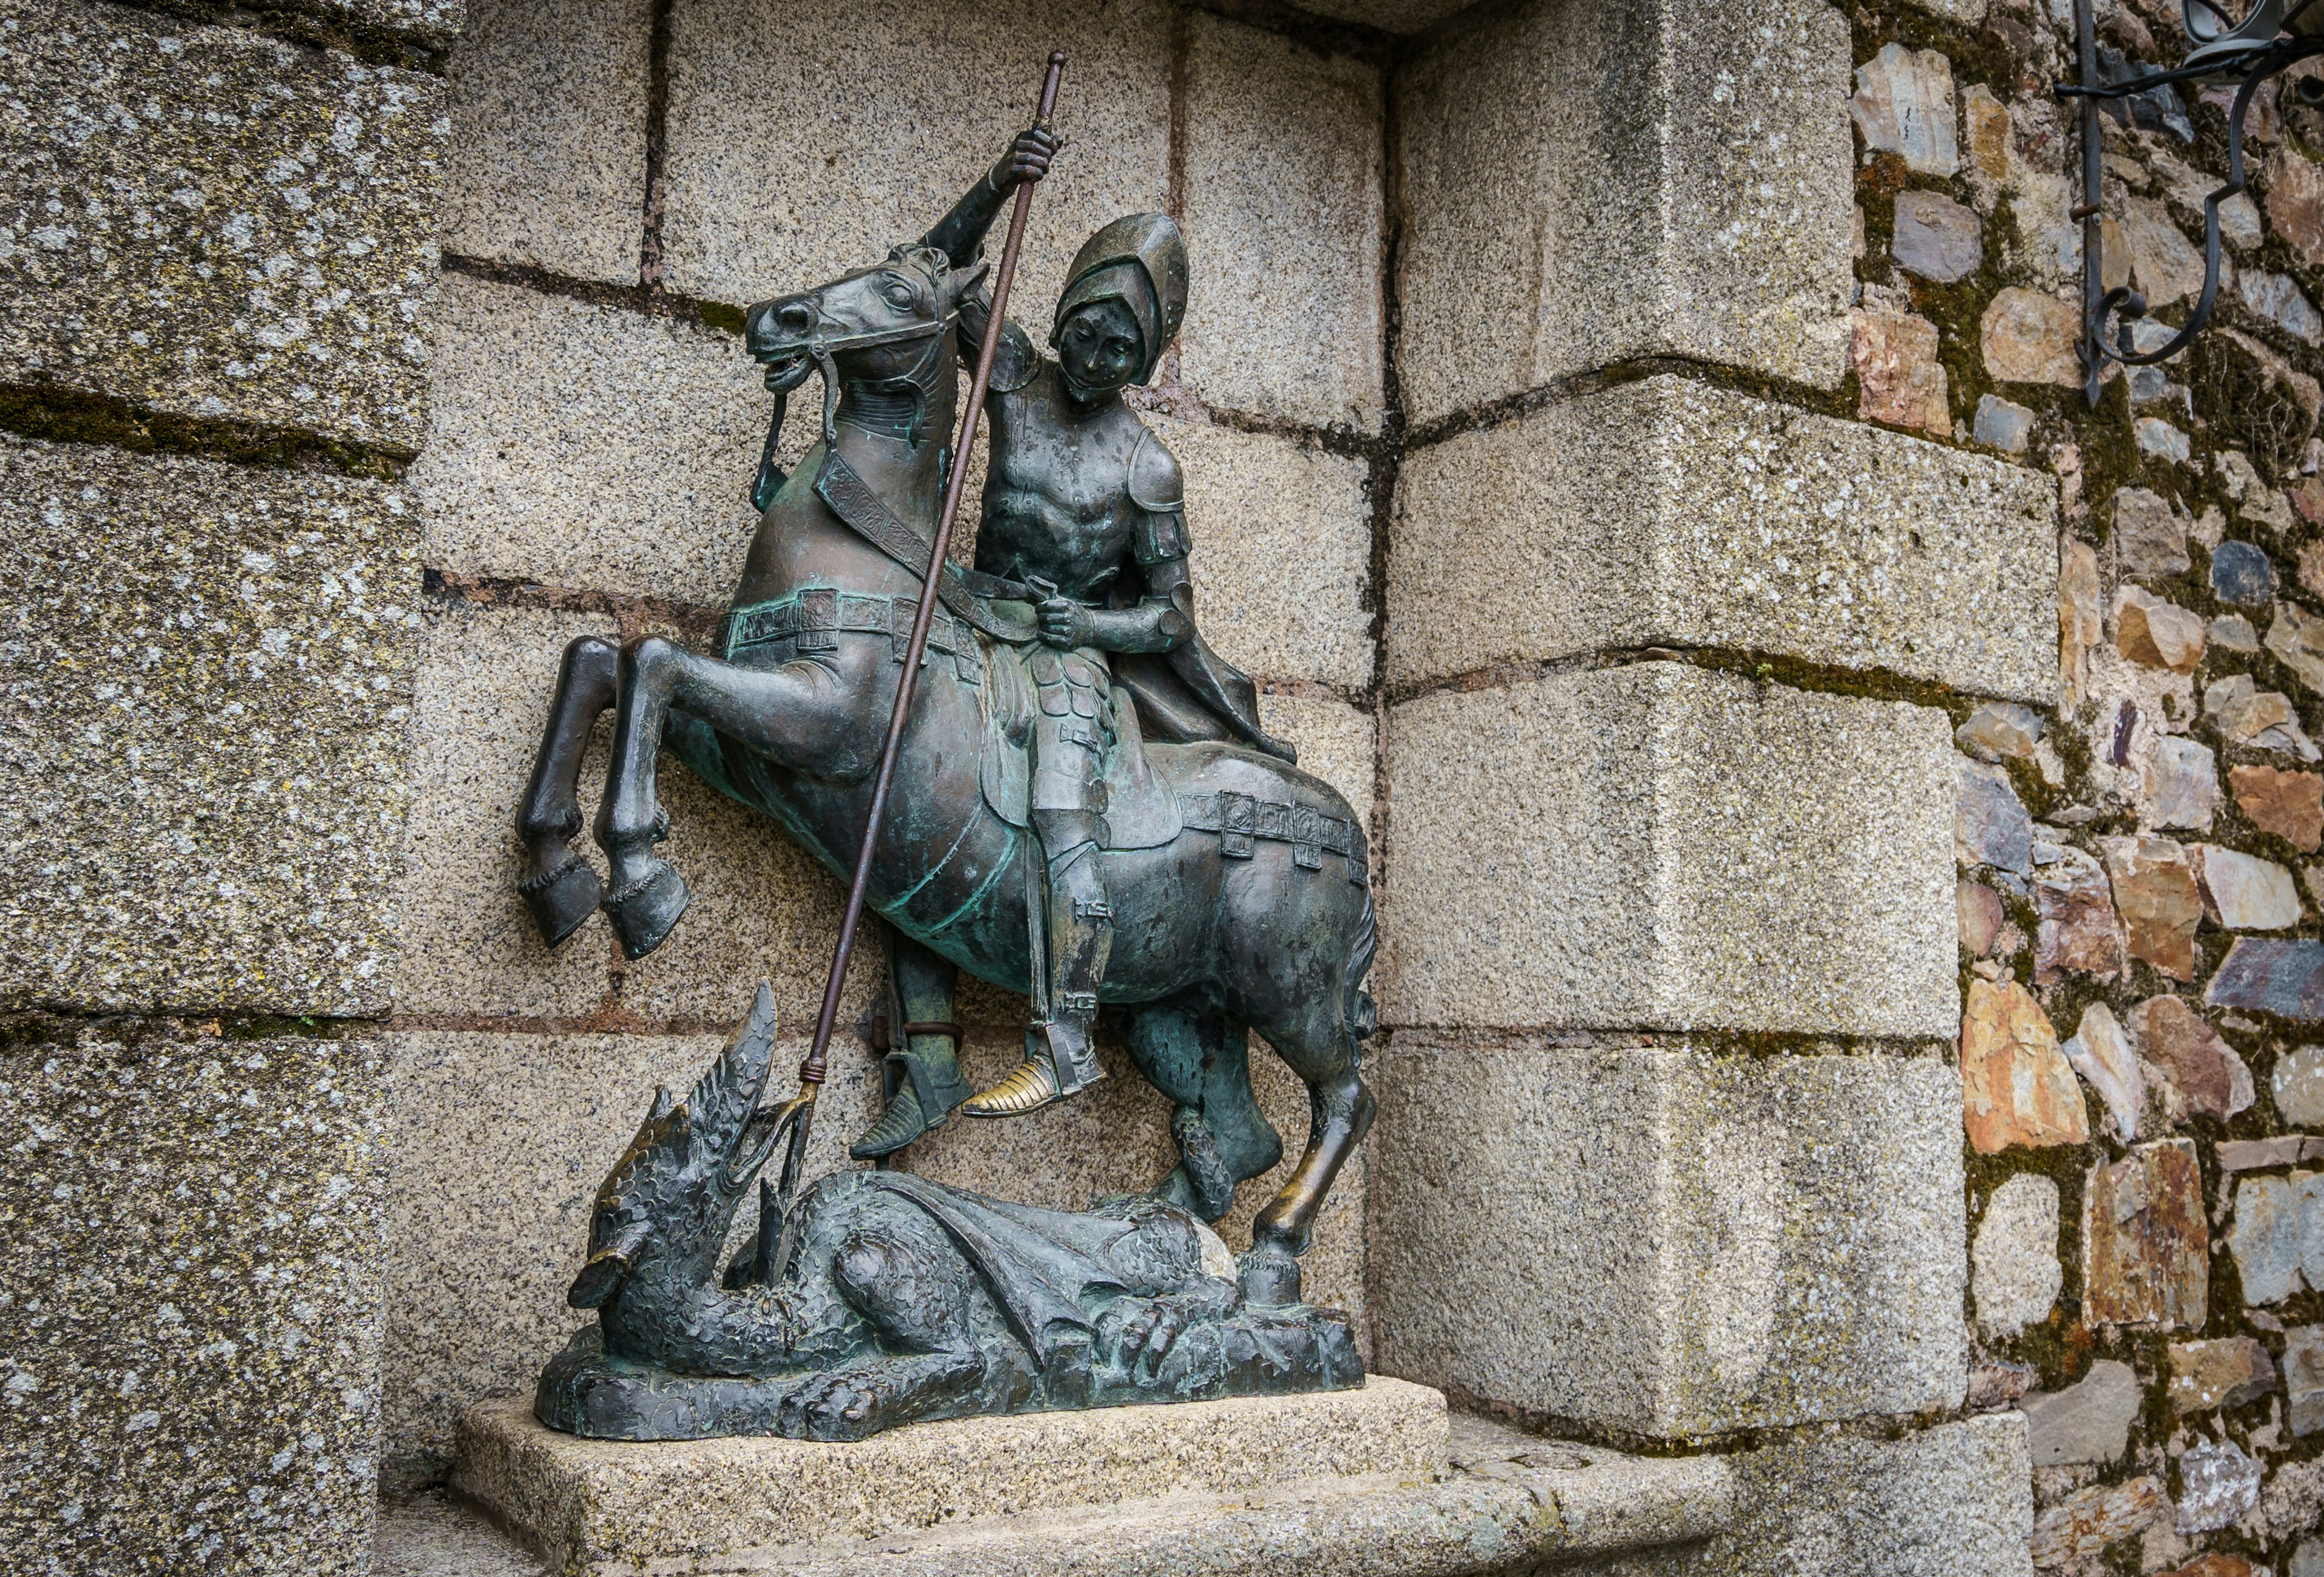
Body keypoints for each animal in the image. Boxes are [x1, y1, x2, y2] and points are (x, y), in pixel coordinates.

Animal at [513, 240, 1357, 1300]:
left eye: (900, 290)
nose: (778, 320)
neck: (868, 570)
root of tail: (1346, 828)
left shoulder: (824, 727)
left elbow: (656, 662)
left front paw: (643, 884)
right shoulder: (750, 750)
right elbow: (608, 657)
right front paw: (558, 871)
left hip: (1293, 994)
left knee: (1342, 1099)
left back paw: (1263, 1253)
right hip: (1182, 1009)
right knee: (1245, 1134)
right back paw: (1138, 1233)